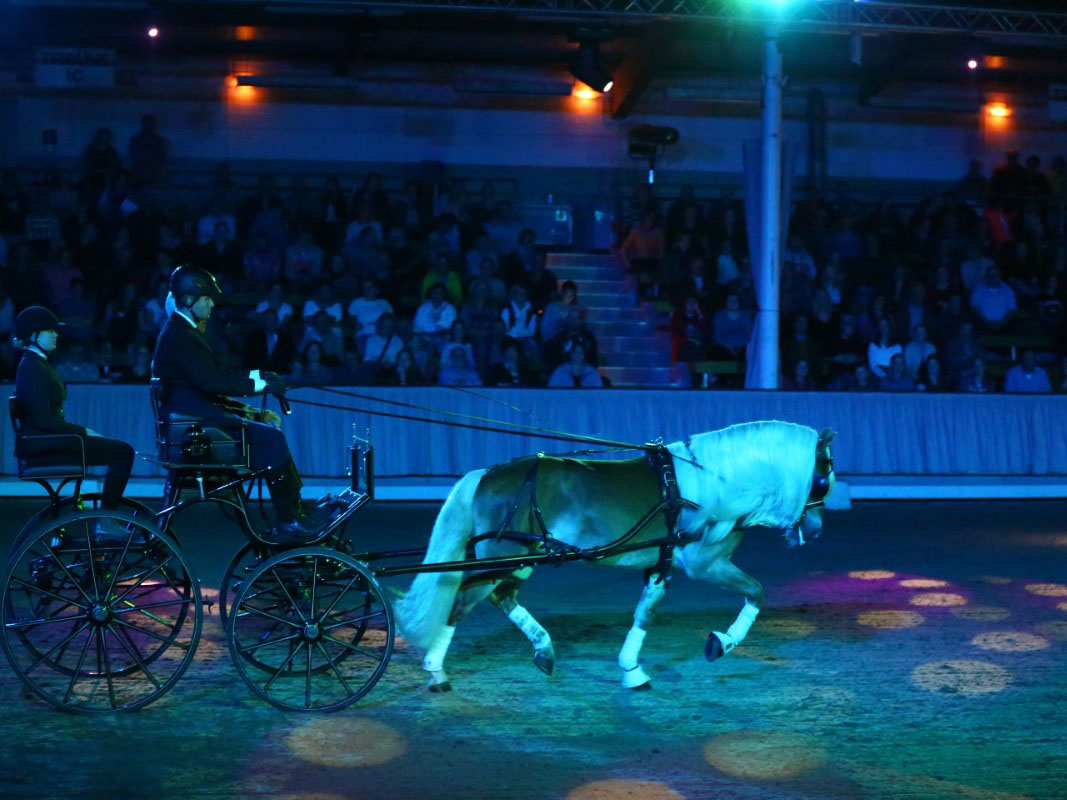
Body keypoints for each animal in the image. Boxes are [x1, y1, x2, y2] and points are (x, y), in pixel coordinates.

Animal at [392, 422, 832, 691]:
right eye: (823, 476)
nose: (815, 531)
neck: (712, 485)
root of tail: (486, 473)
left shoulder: (660, 566)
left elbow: (644, 614)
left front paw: (632, 669)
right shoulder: (705, 562)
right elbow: (756, 592)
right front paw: (722, 642)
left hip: (521, 559)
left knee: (502, 597)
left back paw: (543, 650)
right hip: (502, 558)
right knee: (462, 601)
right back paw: (436, 671)